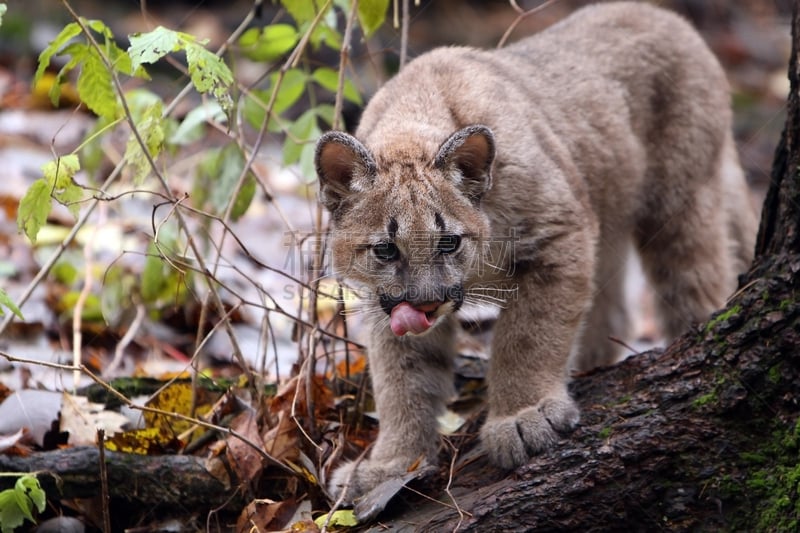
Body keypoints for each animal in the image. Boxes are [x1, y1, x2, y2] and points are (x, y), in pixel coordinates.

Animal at [314, 0, 756, 500]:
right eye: (386, 251)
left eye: (449, 242)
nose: (426, 303)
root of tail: (664, 15)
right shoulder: (385, 301)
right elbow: (401, 378)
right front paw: (390, 466)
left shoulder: (558, 237)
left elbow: (528, 335)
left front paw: (522, 417)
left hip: (677, 207)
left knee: (698, 279)